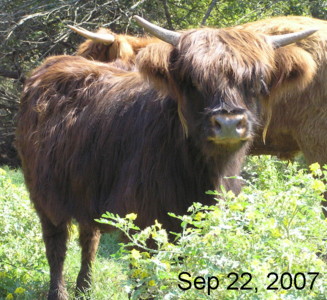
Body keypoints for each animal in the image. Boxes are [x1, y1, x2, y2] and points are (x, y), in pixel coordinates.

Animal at [15, 15, 316, 298]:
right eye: (192, 81)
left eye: (257, 81)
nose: (229, 123)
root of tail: (51, 64)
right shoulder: (142, 222)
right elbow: (145, 275)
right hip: (44, 194)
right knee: (56, 244)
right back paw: (59, 292)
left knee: (89, 238)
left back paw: (85, 288)